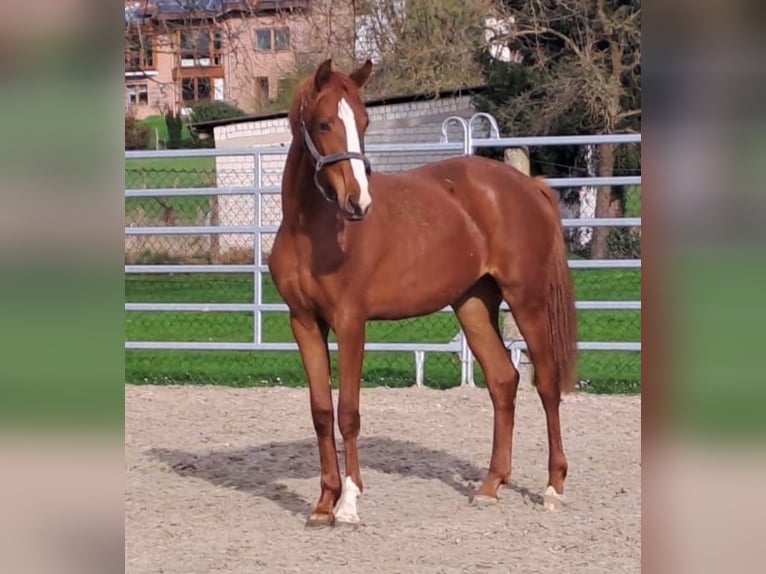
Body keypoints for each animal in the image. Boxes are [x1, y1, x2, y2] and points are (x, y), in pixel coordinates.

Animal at [270, 60, 576, 528]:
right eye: (323, 124)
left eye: (364, 122)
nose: (358, 202)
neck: (314, 232)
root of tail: (527, 185)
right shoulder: (303, 322)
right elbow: (321, 411)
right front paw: (323, 505)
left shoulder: (350, 322)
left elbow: (348, 412)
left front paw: (349, 503)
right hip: (473, 304)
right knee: (503, 381)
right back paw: (490, 487)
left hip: (527, 301)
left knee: (546, 383)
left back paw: (553, 488)